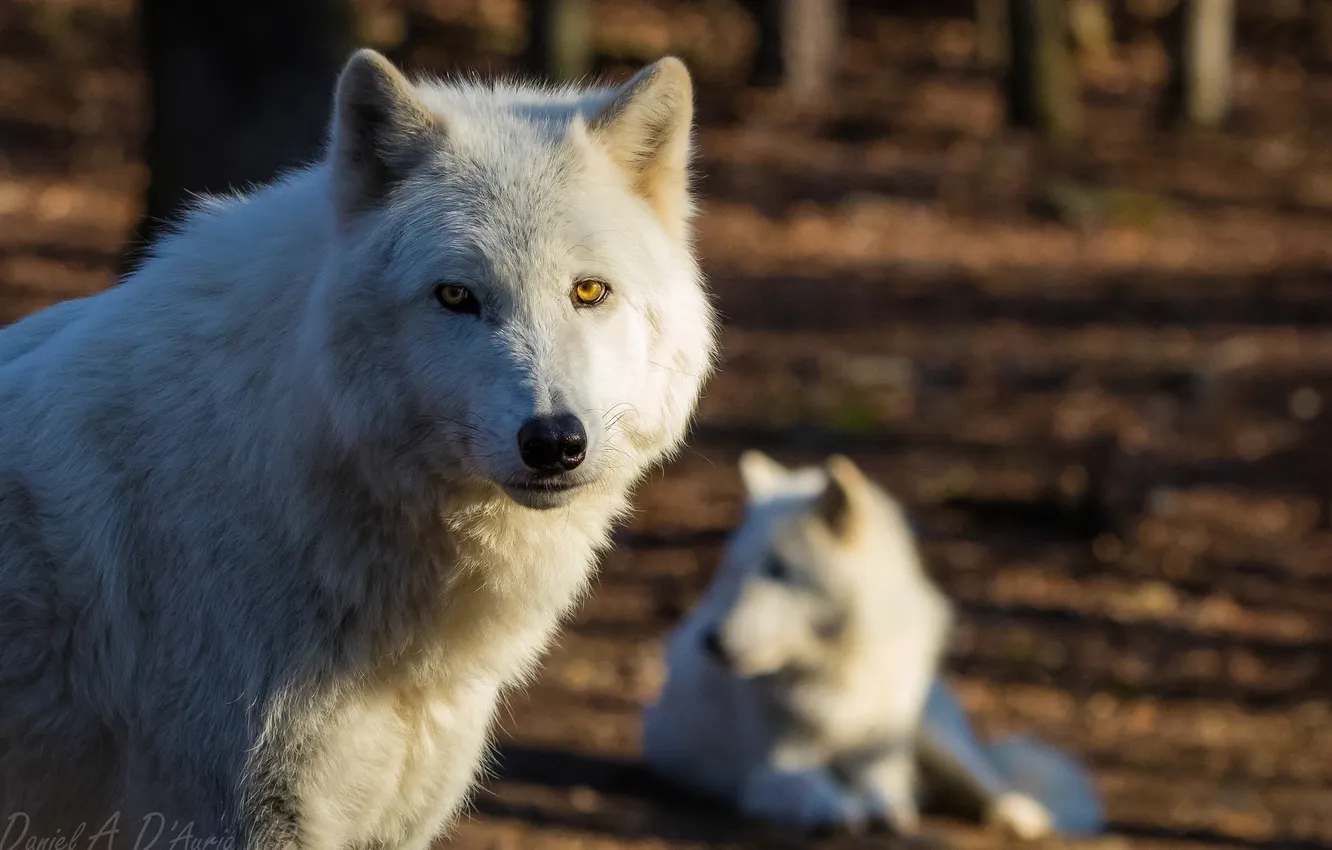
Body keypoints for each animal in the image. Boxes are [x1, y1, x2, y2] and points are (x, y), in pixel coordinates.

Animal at [641, 452, 1103, 840]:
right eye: (735, 570)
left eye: (779, 571)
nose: (711, 641)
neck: (840, 672)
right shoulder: (770, 770)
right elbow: (817, 788)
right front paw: (839, 808)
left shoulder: (882, 757)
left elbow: (885, 792)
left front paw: (882, 807)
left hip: (934, 733)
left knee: (989, 782)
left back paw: (1022, 813)